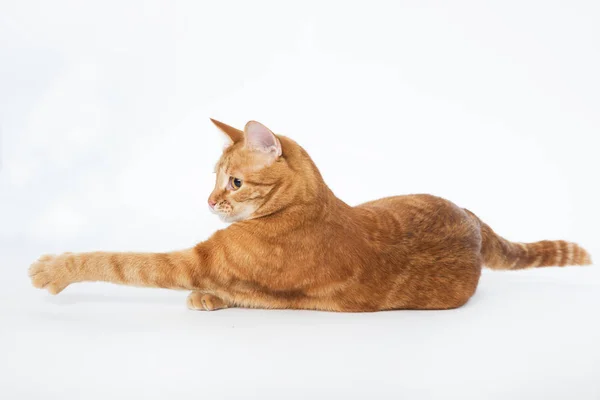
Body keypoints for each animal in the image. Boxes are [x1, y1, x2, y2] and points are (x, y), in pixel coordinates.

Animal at [28, 119, 592, 312]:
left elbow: (118, 261)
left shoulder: (193, 261)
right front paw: (208, 299)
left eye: (234, 182)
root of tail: (471, 216)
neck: (305, 206)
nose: (209, 202)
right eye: (214, 177)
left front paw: (53, 268)